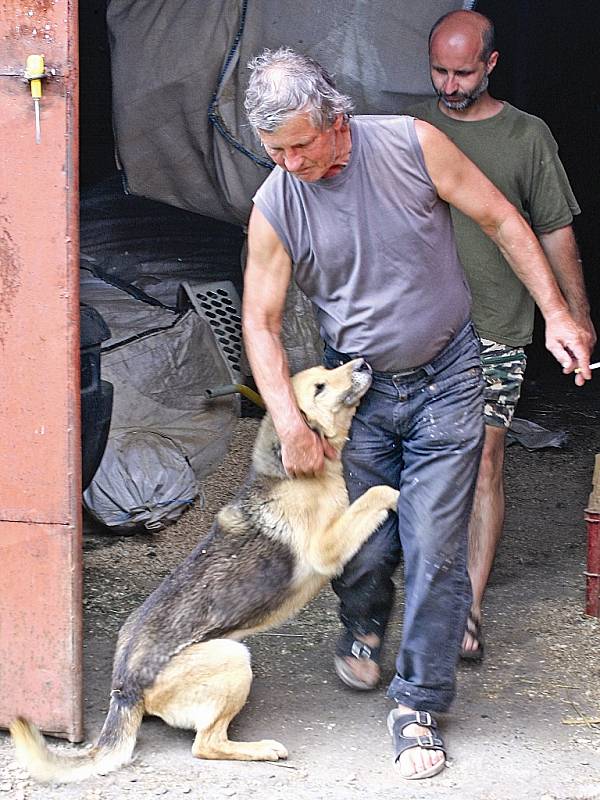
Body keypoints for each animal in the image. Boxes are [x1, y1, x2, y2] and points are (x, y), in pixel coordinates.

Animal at [9, 360, 398, 784]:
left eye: (330, 368)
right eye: (320, 387)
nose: (363, 363)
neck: (295, 473)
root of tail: (123, 689)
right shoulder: (326, 549)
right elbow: (377, 492)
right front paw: (398, 494)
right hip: (233, 658)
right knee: (205, 744)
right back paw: (261, 749)